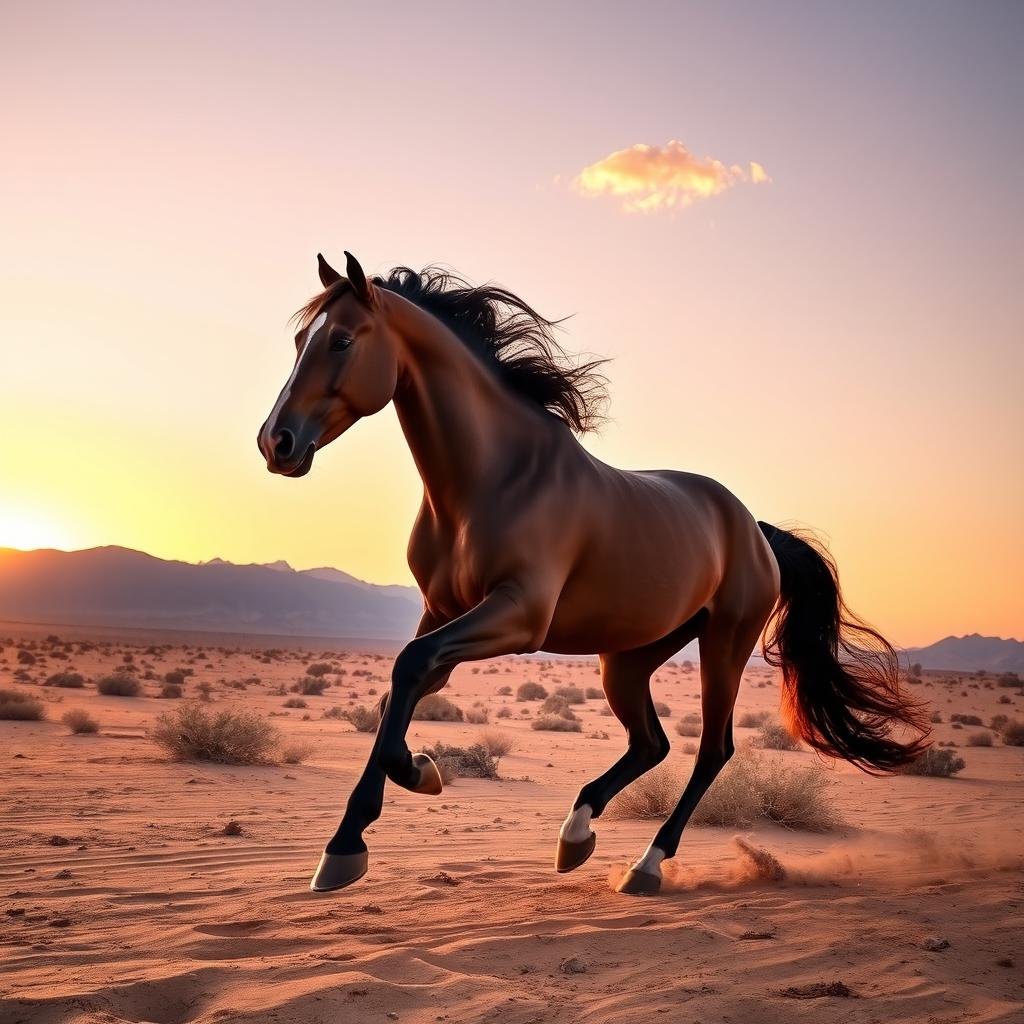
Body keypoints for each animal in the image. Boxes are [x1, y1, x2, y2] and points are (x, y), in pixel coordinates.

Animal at [256, 253, 929, 897]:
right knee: (652, 742)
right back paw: (576, 833)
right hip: (628, 658)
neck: (494, 480)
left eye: (342, 340)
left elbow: (409, 668)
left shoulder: (518, 616)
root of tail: (756, 530)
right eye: (300, 341)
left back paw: (646, 866)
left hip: (725, 644)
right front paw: (414, 778)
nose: (275, 443)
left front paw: (353, 839)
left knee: (712, 749)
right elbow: (402, 684)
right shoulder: (443, 611)